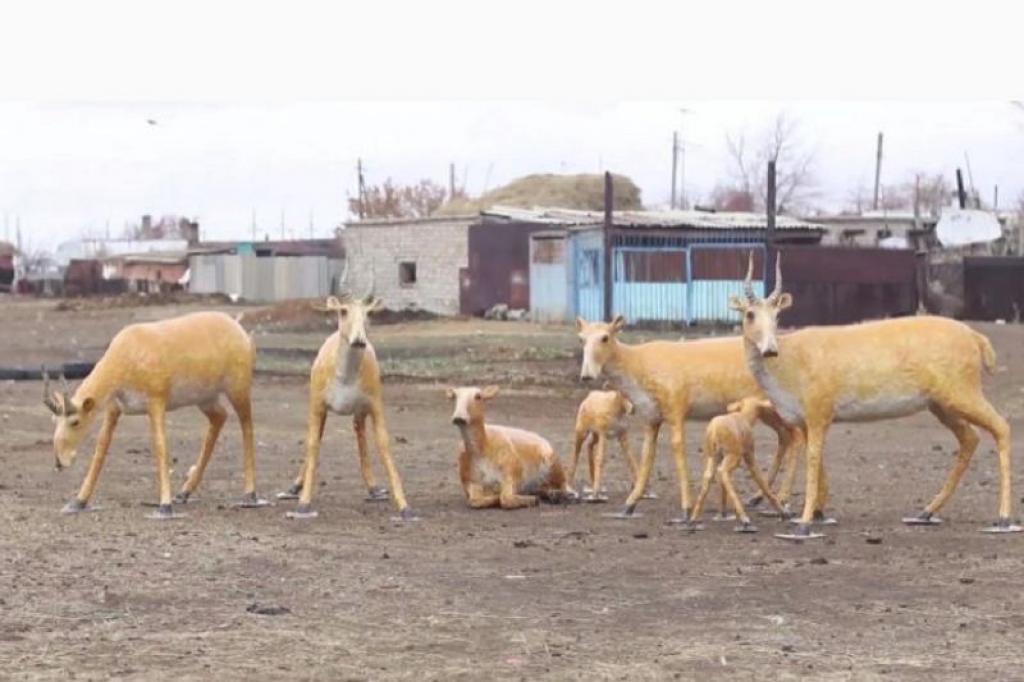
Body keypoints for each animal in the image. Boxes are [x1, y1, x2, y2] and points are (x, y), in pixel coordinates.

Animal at [41, 311, 267, 519]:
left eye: (75, 421)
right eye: (54, 420)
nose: (59, 461)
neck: (130, 349)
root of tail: (239, 330)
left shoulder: (156, 404)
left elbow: (160, 446)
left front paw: (164, 506)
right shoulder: (114, 409)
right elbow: (101, 448)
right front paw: (77, 502)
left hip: (238, 390)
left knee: (247, 425)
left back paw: (249, 495)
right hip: (206, 399)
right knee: (219, 417)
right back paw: (184, 493)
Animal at [276, 282, 416, 521]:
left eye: (369, 312)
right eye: (343, 311)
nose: (359, 340)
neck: (345, 377)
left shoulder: (374, 405)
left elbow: (384, 443)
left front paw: (404, 507)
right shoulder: (317, 404)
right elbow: (313, 442)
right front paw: (303, 503)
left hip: (360, 410)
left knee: (359, 431)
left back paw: (374, 488)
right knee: (320, 436)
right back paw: (294, 488)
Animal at [690, 397, 791, 532]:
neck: (743, 417)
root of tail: (715, 430)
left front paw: (722, 514)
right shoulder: (749, 455)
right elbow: (761, 480)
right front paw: (784, 513)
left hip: (714, 457)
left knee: (709, 477)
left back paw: (693, 519)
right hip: (734, 456)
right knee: (723, 472)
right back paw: (745, 519)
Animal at [730, 252, 1016, 539]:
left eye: (776, 315)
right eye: (750, 314)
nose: (770, 350)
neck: (791, 360)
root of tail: (975, 337)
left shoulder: (819, 414)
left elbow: (812, 459)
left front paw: (804, 523)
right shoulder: (807, 421)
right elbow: (818, 460)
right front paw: (820, 514)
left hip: (963, 394)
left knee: (1001, 427)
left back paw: (1003, 519)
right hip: (941, 405)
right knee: (970, 438)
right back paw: (925, 512)